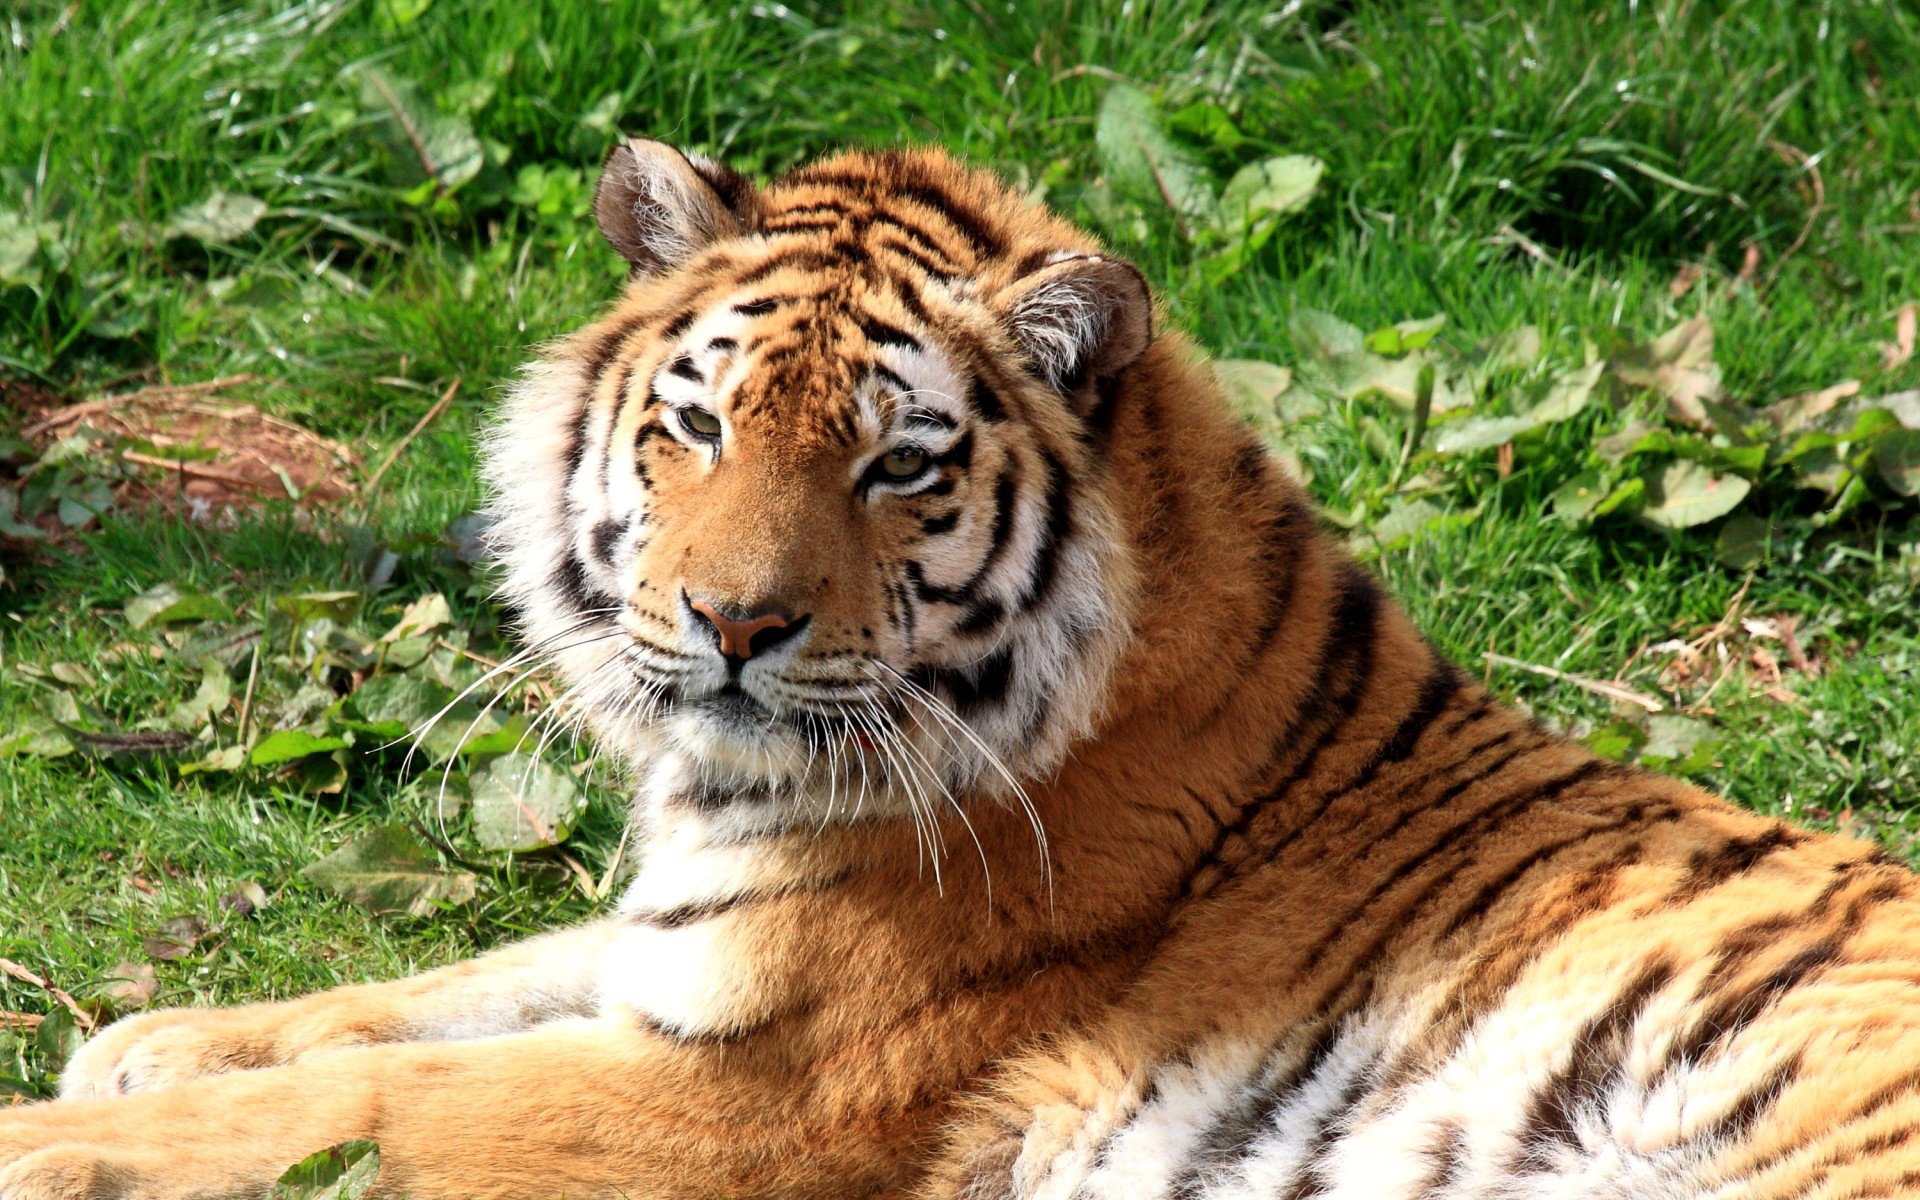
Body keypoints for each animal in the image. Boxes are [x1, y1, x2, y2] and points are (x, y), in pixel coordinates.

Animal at [4, 138, 1920, 1200]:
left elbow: (367, 1100)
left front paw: (44, 1142)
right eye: (700, 425)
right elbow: (433, 991)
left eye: (898, 465)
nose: (733, 624)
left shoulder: (745, 1099)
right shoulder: (678, 958)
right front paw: (153, 1045)